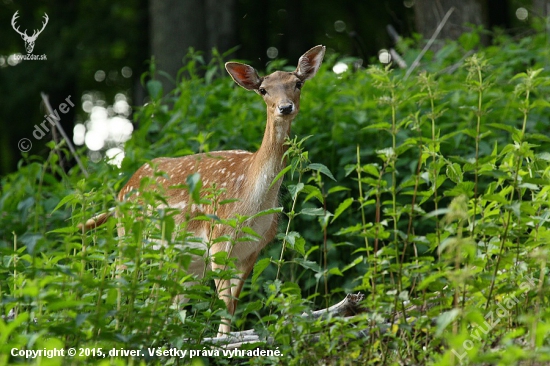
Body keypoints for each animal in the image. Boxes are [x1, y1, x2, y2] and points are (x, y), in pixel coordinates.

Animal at [80, 44, 326, 336]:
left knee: (165, 297)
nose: (285, 107)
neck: (251, 204)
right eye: (263, 90)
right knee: (120, 277)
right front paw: (221, 341)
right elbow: (225, 304)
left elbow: (233, 303)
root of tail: (121, 192)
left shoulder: (252, 251)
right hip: (129, 235)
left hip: (185, 260)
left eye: (297, 83)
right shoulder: (218, 240)